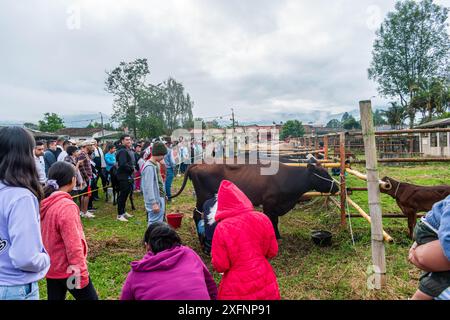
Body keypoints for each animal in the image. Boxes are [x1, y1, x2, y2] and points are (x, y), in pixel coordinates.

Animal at [171, 161, 340, 239]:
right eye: (323, 173)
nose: (337, 187)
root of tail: (198, 163)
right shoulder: (269, 203)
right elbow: (272, 220)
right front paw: (275, 236)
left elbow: (275, 220)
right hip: (203, 197)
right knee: (196, 215)